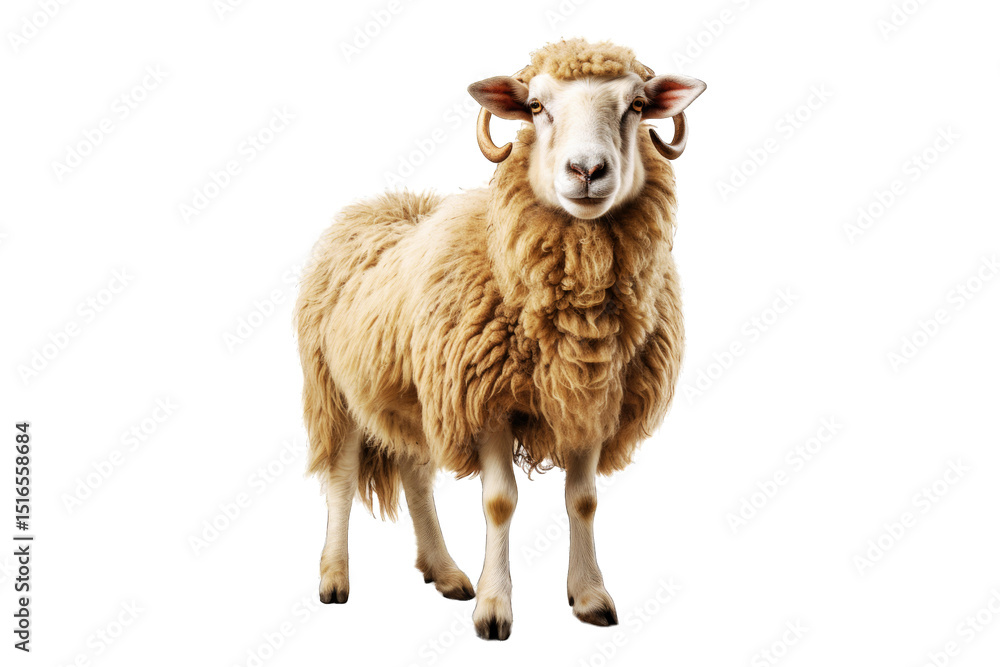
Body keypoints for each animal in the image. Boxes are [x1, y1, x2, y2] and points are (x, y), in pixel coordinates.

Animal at [295, 38, 706, 640]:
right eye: (536, 107)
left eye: (635, 105)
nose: (587, 170)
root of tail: (381, 204)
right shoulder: (486, 400)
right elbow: (498, 502)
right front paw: (494, 609)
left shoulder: (589, 401)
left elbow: (583, 501)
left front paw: (589, 596)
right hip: (335, 388)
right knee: (342, 480)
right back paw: (334, 578)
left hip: (415, 394)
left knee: (416, 477)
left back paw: (444, 572)